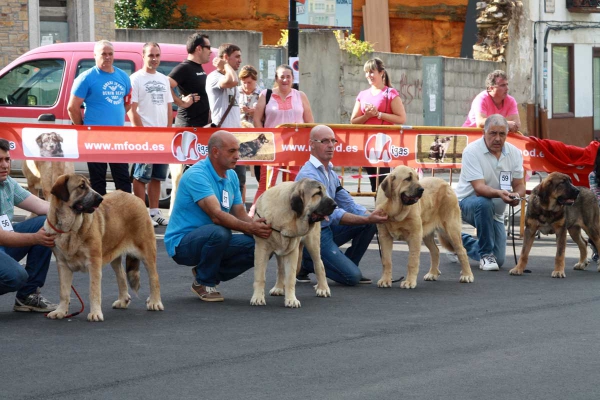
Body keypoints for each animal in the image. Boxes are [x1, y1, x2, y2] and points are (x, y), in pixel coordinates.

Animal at [45, 174, 164, 322]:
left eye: (89, 185)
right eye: (81, 186)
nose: (100, 198)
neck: (70, 229)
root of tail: (136, 198)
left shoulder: (94, 263)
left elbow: (94, 290)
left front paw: (95, 313)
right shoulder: (63, 265)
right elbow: (64, 291)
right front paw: (61, 311)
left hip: (146, 252)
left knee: (154, 277)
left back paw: (155, 302)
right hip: (114, 256)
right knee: (121, 275)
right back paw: (123, 300)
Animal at [250, 180, 338, 308]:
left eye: (325, 192)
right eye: (317, 193)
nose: (335, 204)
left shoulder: (292, 252)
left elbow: (290, 278)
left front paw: (291, 299)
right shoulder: (261, 249)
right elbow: (260, 277)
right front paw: (257, 298)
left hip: (312, 243)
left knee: (319, 264)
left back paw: (323, 288)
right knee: (280, 269)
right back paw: (278, 288)